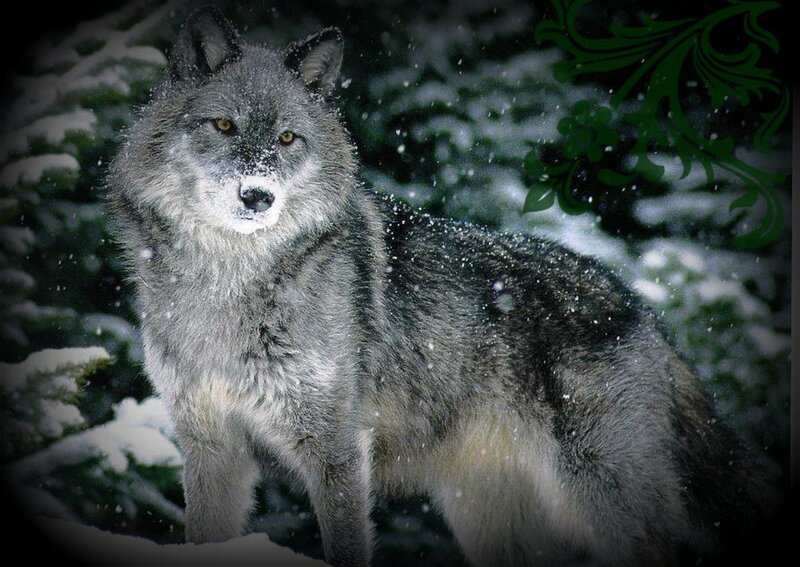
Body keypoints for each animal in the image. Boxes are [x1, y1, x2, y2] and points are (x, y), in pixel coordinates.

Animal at [108, 7, 775, 566]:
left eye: (288, 139)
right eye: (223, 125)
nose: (258, 196)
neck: (227, 285)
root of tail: (644, 311)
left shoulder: (337, 448)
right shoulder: (210, 447)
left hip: (600, 498)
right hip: (489, 519)